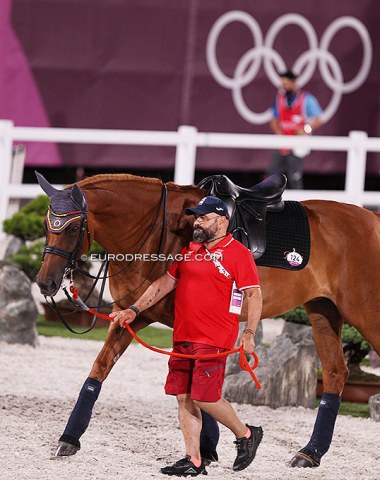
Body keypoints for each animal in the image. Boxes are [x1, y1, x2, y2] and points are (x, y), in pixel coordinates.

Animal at [36, 173, 380, 468]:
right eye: (46, 225)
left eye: (71, 228)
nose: (46, 283)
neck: (158, 232)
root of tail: (372, 221)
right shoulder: (130, 316)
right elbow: (100, 369)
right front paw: (69, 439)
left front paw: (208, 449)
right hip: (323, 311)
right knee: (335, 373)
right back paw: (310, 453)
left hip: (366, 314)